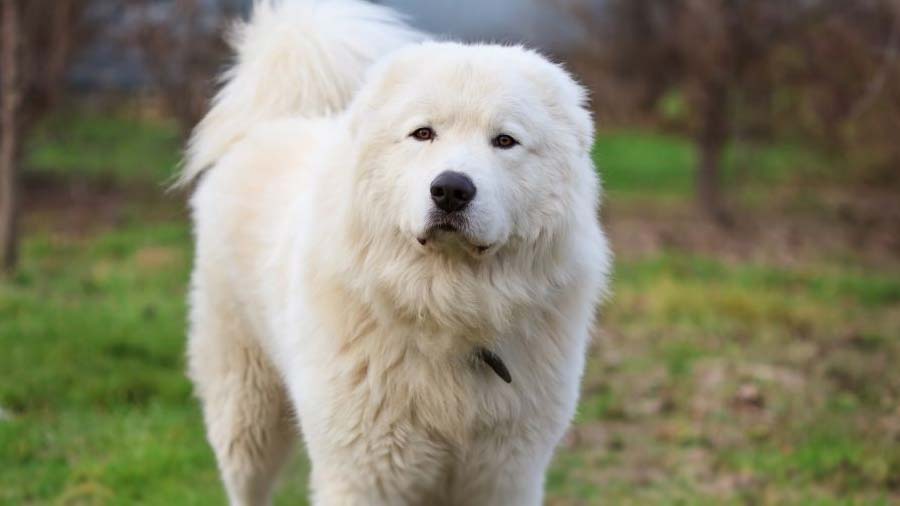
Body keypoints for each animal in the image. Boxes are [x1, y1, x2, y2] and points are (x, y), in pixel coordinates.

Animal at [179, 1, 608, 504]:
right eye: (423, 133)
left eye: (505, 140)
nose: (451, 190)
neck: (447, 312)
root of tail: (284, 119)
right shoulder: (364, 472)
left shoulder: (503, 477)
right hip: (248, 410)